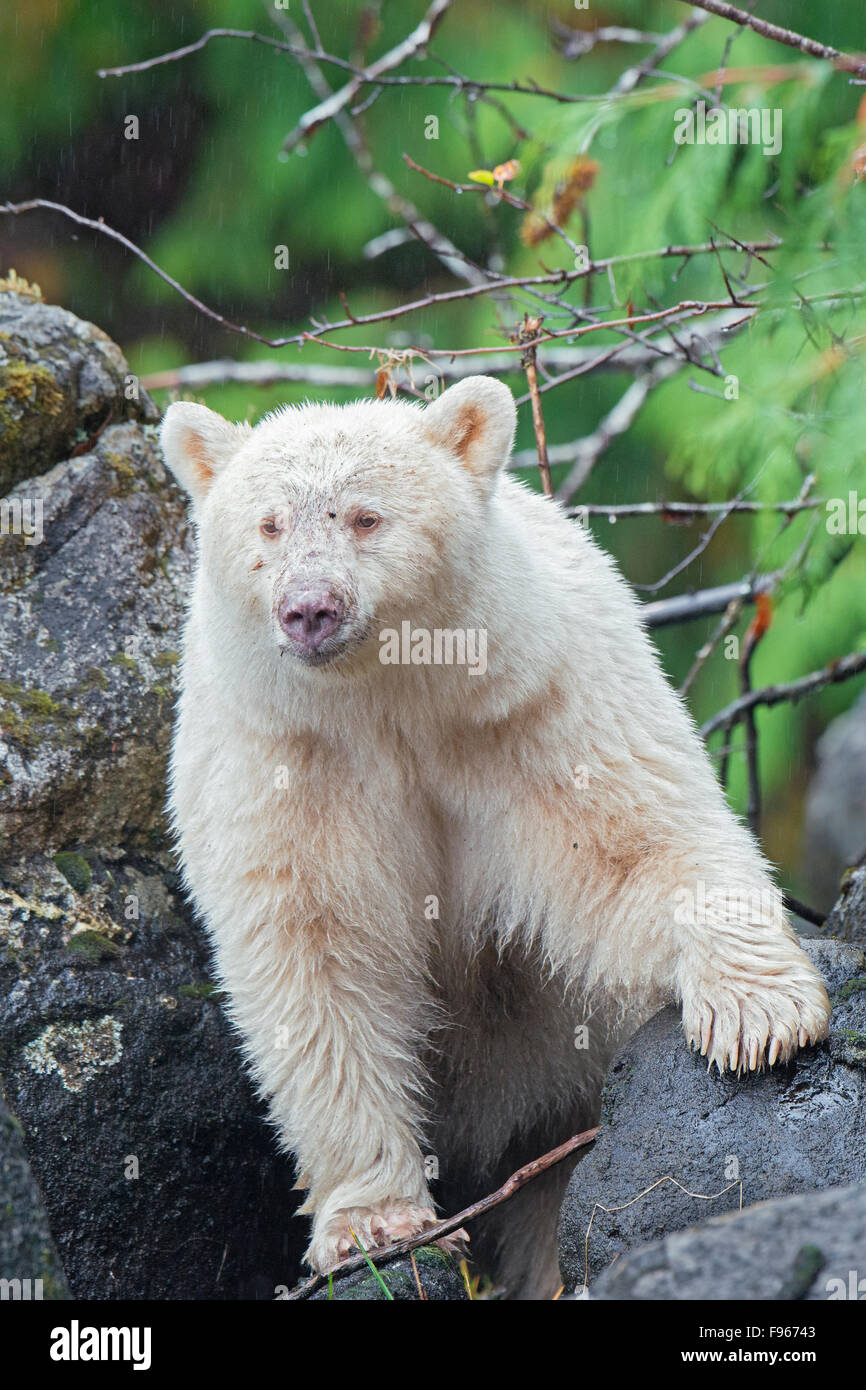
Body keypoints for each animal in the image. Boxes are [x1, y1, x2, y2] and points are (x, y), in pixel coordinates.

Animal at [162, 375, 834, 1295]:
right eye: (267, 524)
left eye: (365, 517)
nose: (309, 610)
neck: (391, 699)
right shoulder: (286, 757)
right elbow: (317, 954)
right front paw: (374, 1224)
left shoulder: (538, 702)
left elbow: (636, 844)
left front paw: (757, 1013)